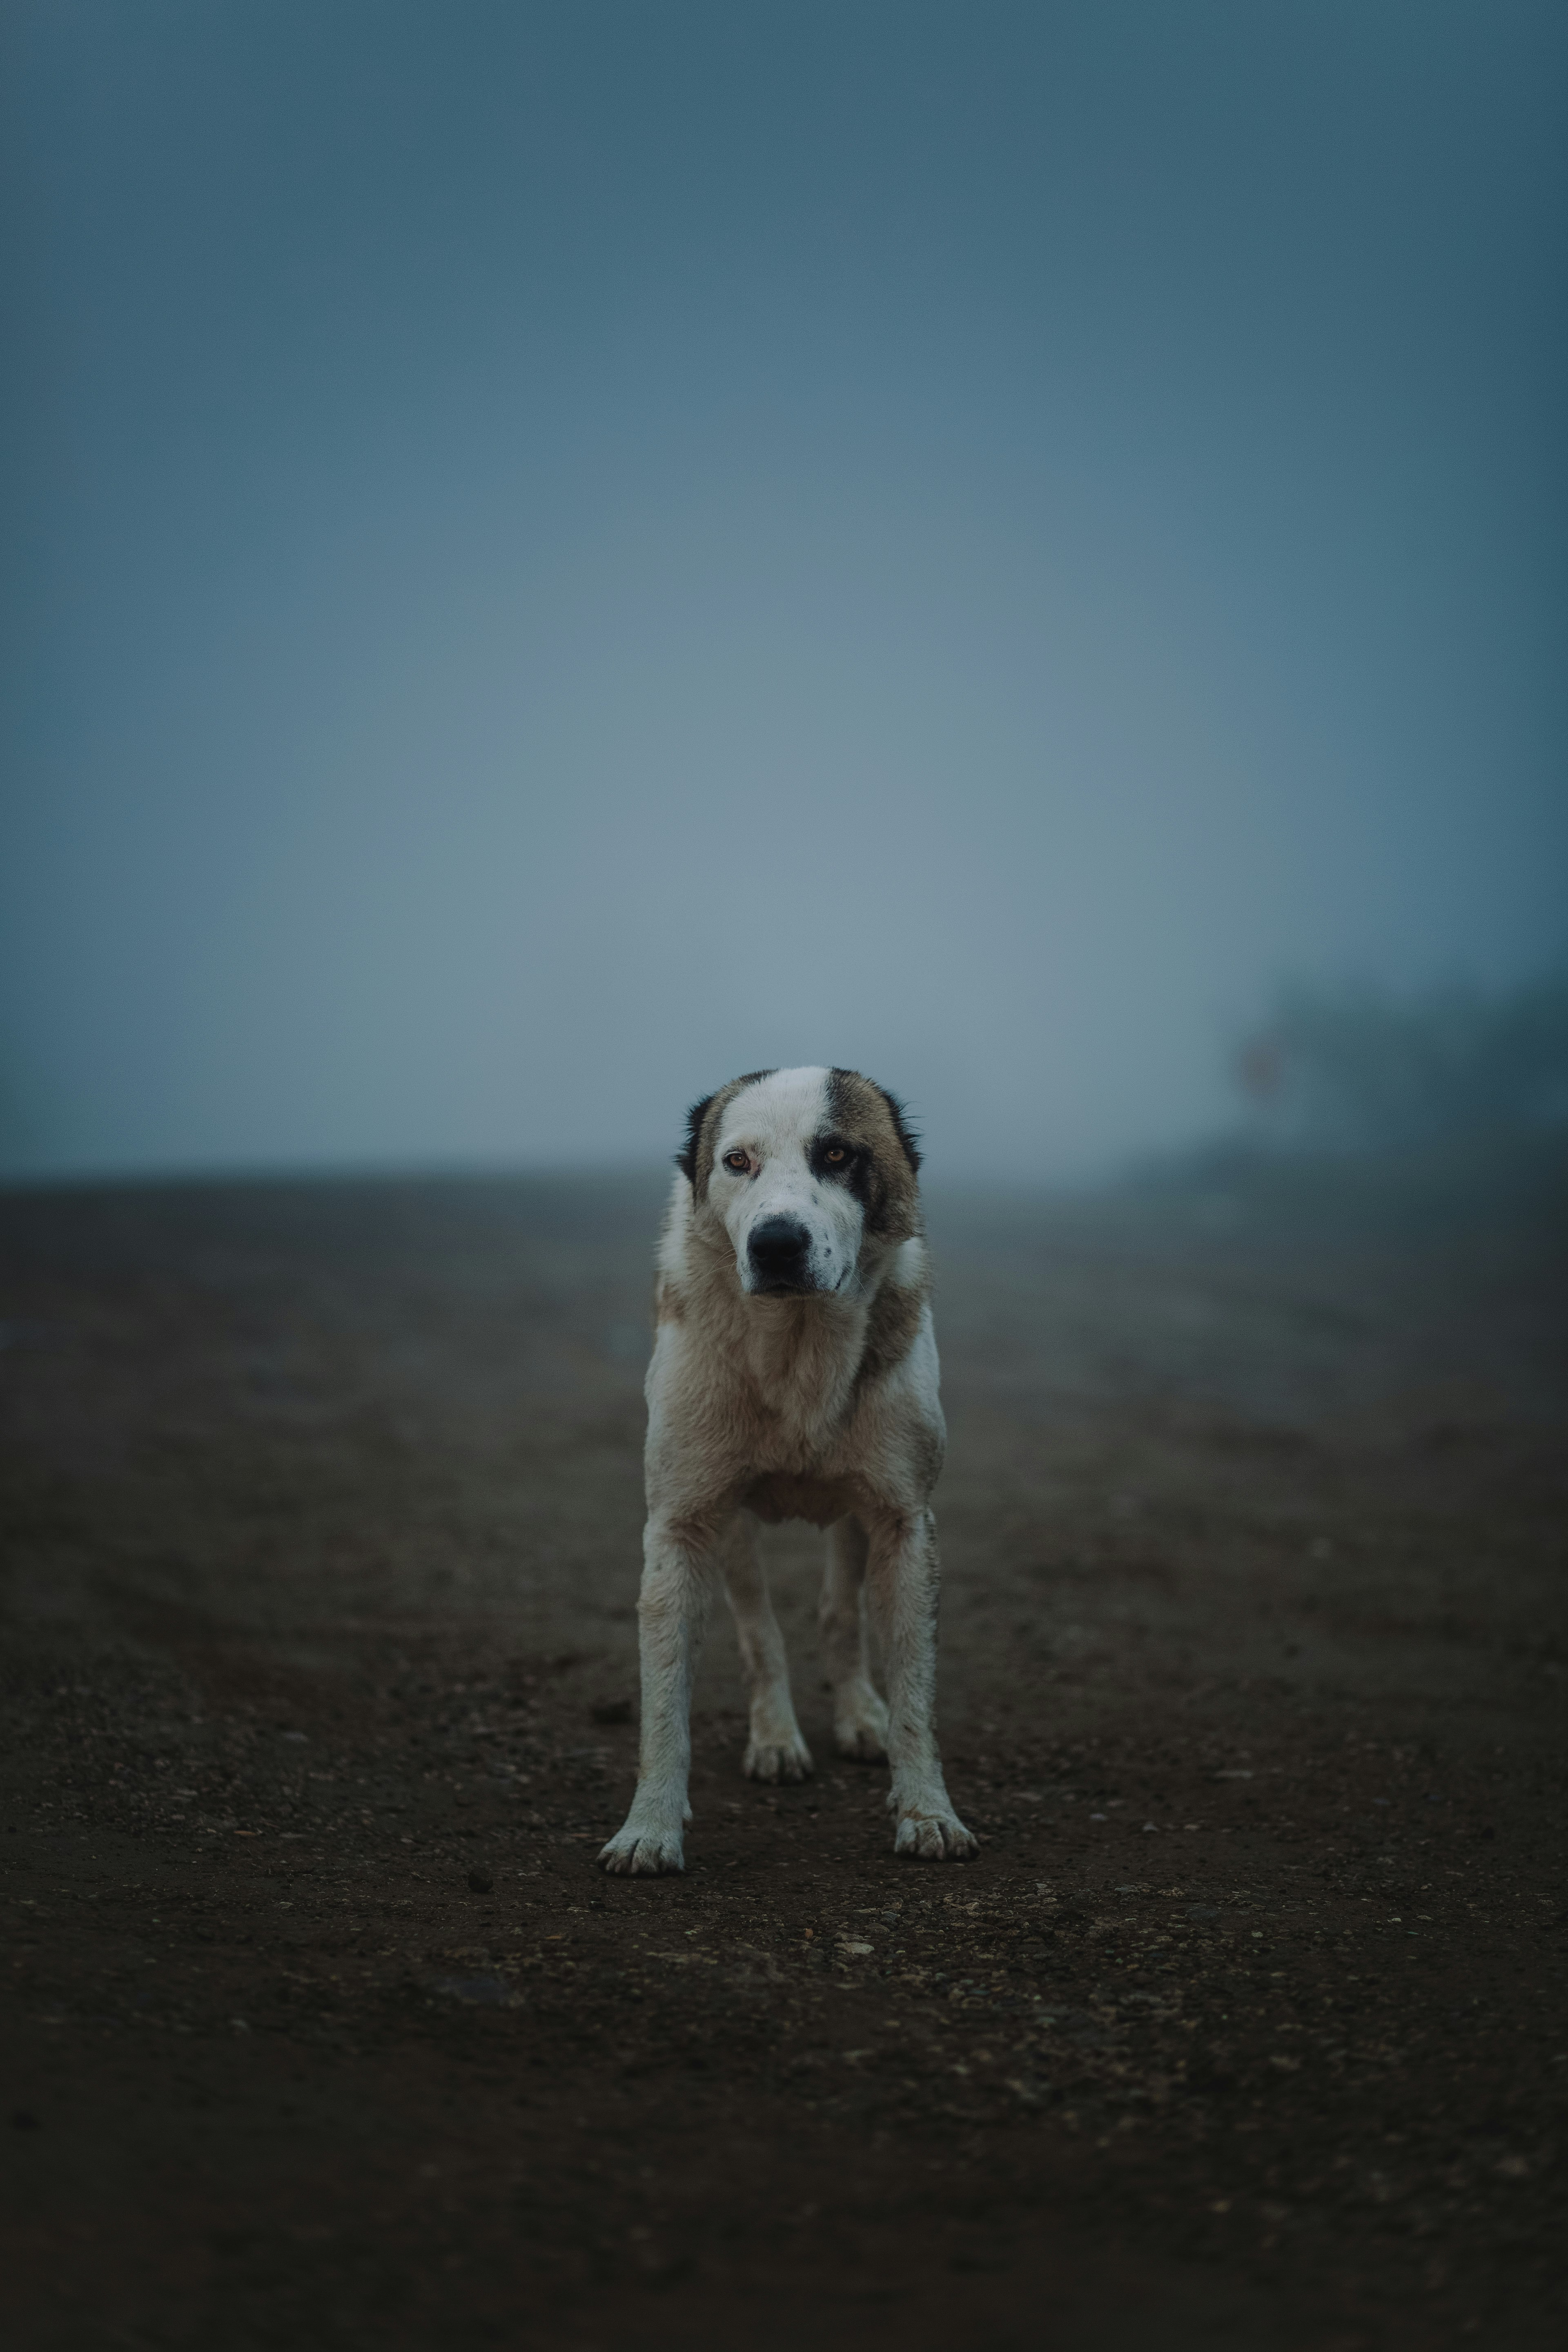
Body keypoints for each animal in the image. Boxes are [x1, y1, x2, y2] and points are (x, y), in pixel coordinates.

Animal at [597, 1068, 973, 1872]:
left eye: (836, 1154)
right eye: (737, 1162)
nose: (775, 1244)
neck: (799, 1349)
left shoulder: (904, 1522)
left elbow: (917, 1699)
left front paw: (927, 1812)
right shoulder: (680, 1526)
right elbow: (664, 1708)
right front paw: (649, 1829)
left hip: (859, 1513)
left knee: (838, 1614)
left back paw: (860, 1716)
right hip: (730, 1524)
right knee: (759, 1629)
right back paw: (775, 1738)